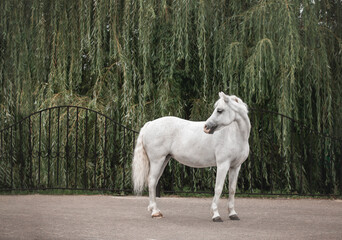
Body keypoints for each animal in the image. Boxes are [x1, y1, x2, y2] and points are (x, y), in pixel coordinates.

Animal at [132, 91, 250, 221]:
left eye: (219, 110)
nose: (206, 127)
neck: (234, 136)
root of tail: (149, 124)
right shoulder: (222, 165)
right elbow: (218, 188)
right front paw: (216, 214)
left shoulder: (235, 166)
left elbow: (232, 189)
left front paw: (233, 214)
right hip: (157, 160)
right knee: (152, 181)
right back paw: (155, 212)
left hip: (164, 160)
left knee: (154, 181)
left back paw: (155, 210)